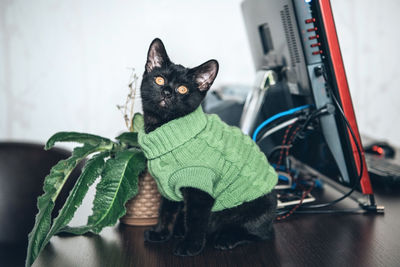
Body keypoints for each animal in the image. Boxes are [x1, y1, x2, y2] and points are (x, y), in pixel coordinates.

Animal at [140, 38, 276, 256]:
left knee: (261, 234)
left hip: (257, 208)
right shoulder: (166, 184)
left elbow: (195, 221)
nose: (167, 92)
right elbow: (166, 211)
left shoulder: (201, 188)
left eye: (183, 89)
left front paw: (190, 246)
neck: (163, 128)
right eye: (159, 80)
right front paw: (160, 233)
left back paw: (226, 238)